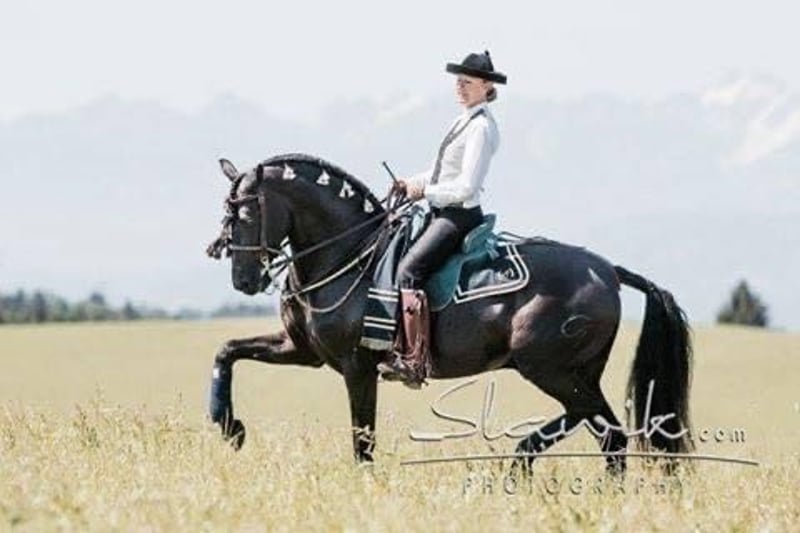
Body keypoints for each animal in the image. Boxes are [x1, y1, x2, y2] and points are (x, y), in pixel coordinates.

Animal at [205, 153, 693, 474]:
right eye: (226, 215)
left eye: (245, 215)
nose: (244, 280)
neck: (346, 253)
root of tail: (607, 270)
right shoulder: (302, 350)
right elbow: (227, 350)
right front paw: (229, 428)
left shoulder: (357, 366)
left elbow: (363, 439)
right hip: (572, 370)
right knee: (606, 431)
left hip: (548, 367)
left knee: (600, 423)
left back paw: (521, 463)